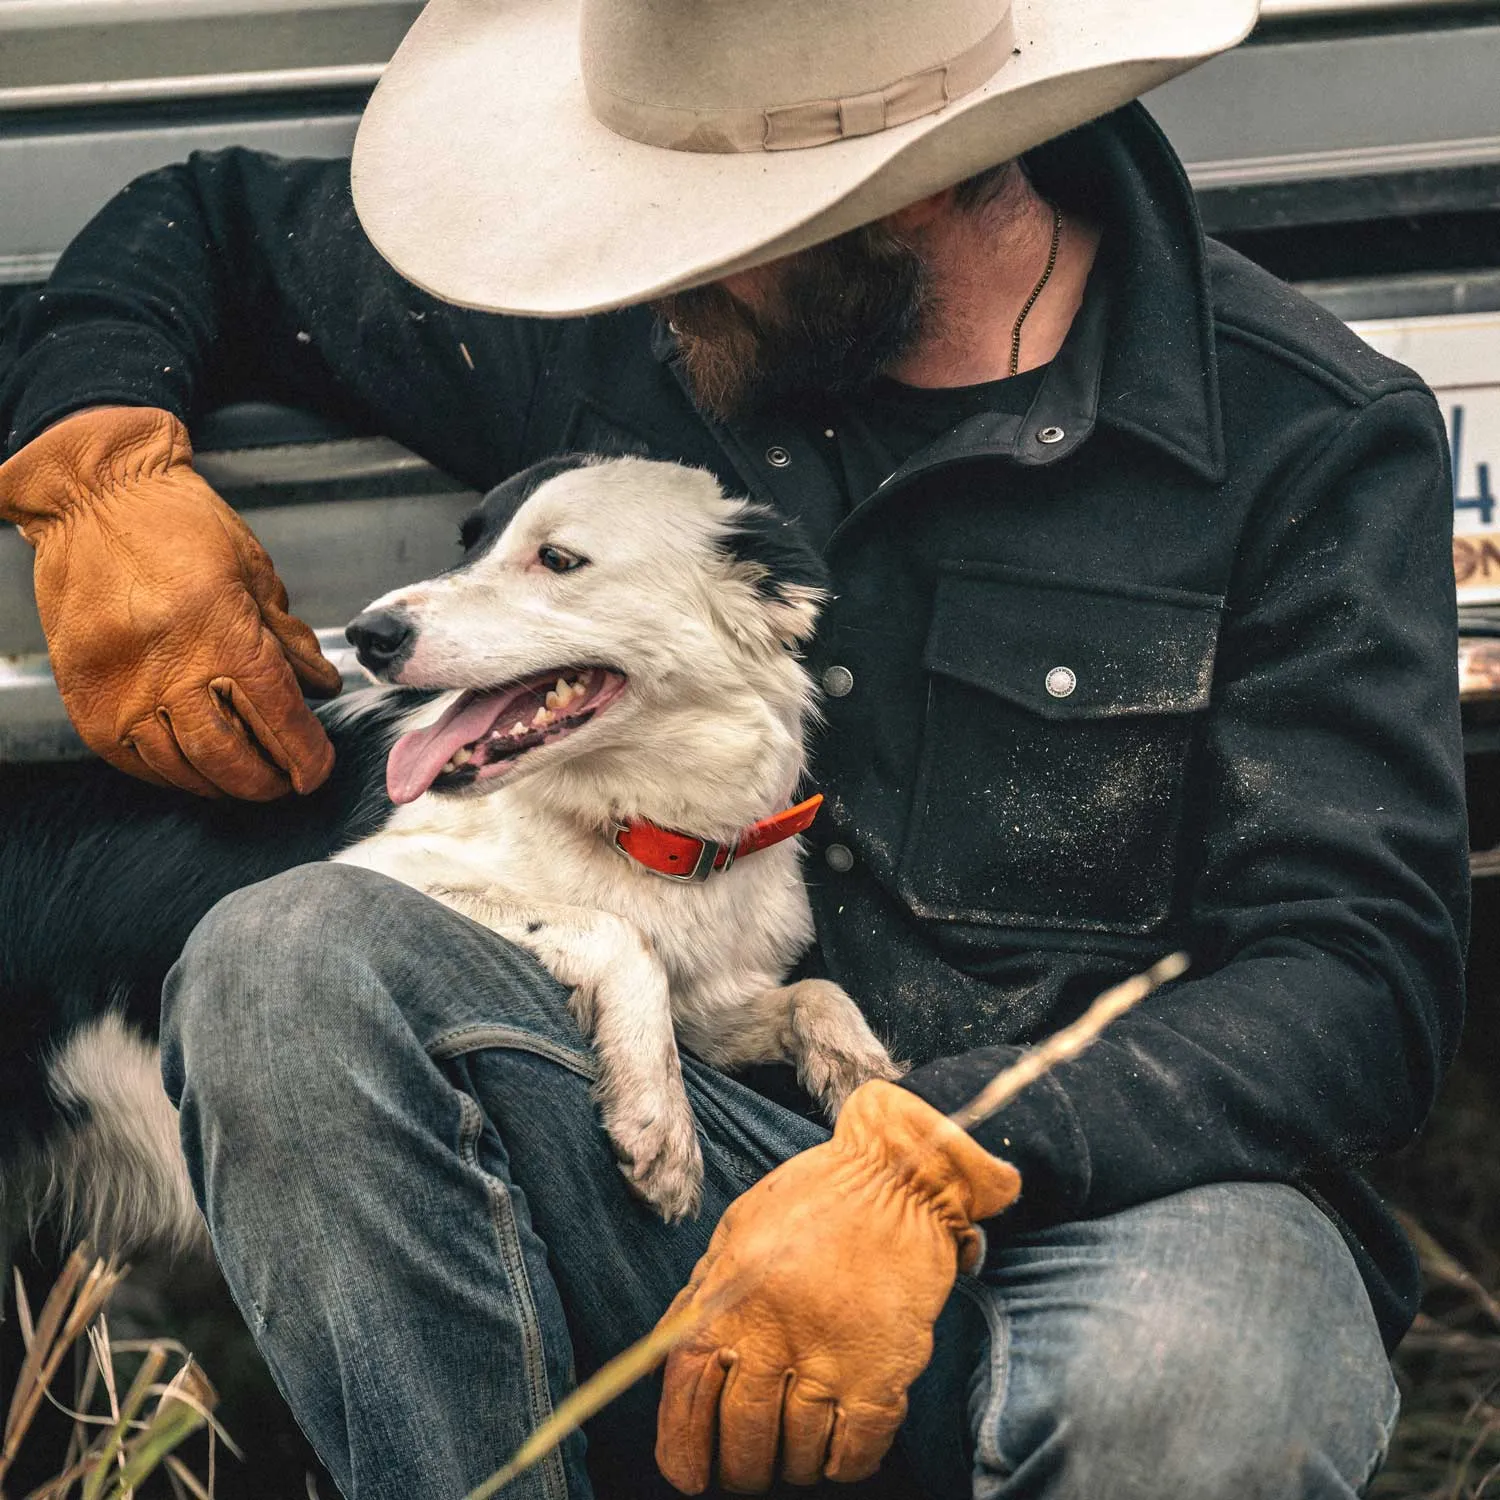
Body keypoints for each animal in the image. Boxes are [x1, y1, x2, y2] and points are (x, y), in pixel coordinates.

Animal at [2, 453, 900, 1254]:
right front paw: (657, 1119)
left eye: (558, 559)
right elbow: (621, 936)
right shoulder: (371, 869)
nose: (370, 634)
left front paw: (867, 1082)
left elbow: (814, 994)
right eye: (467, 543)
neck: (635, 831)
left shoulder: (710, 1008)